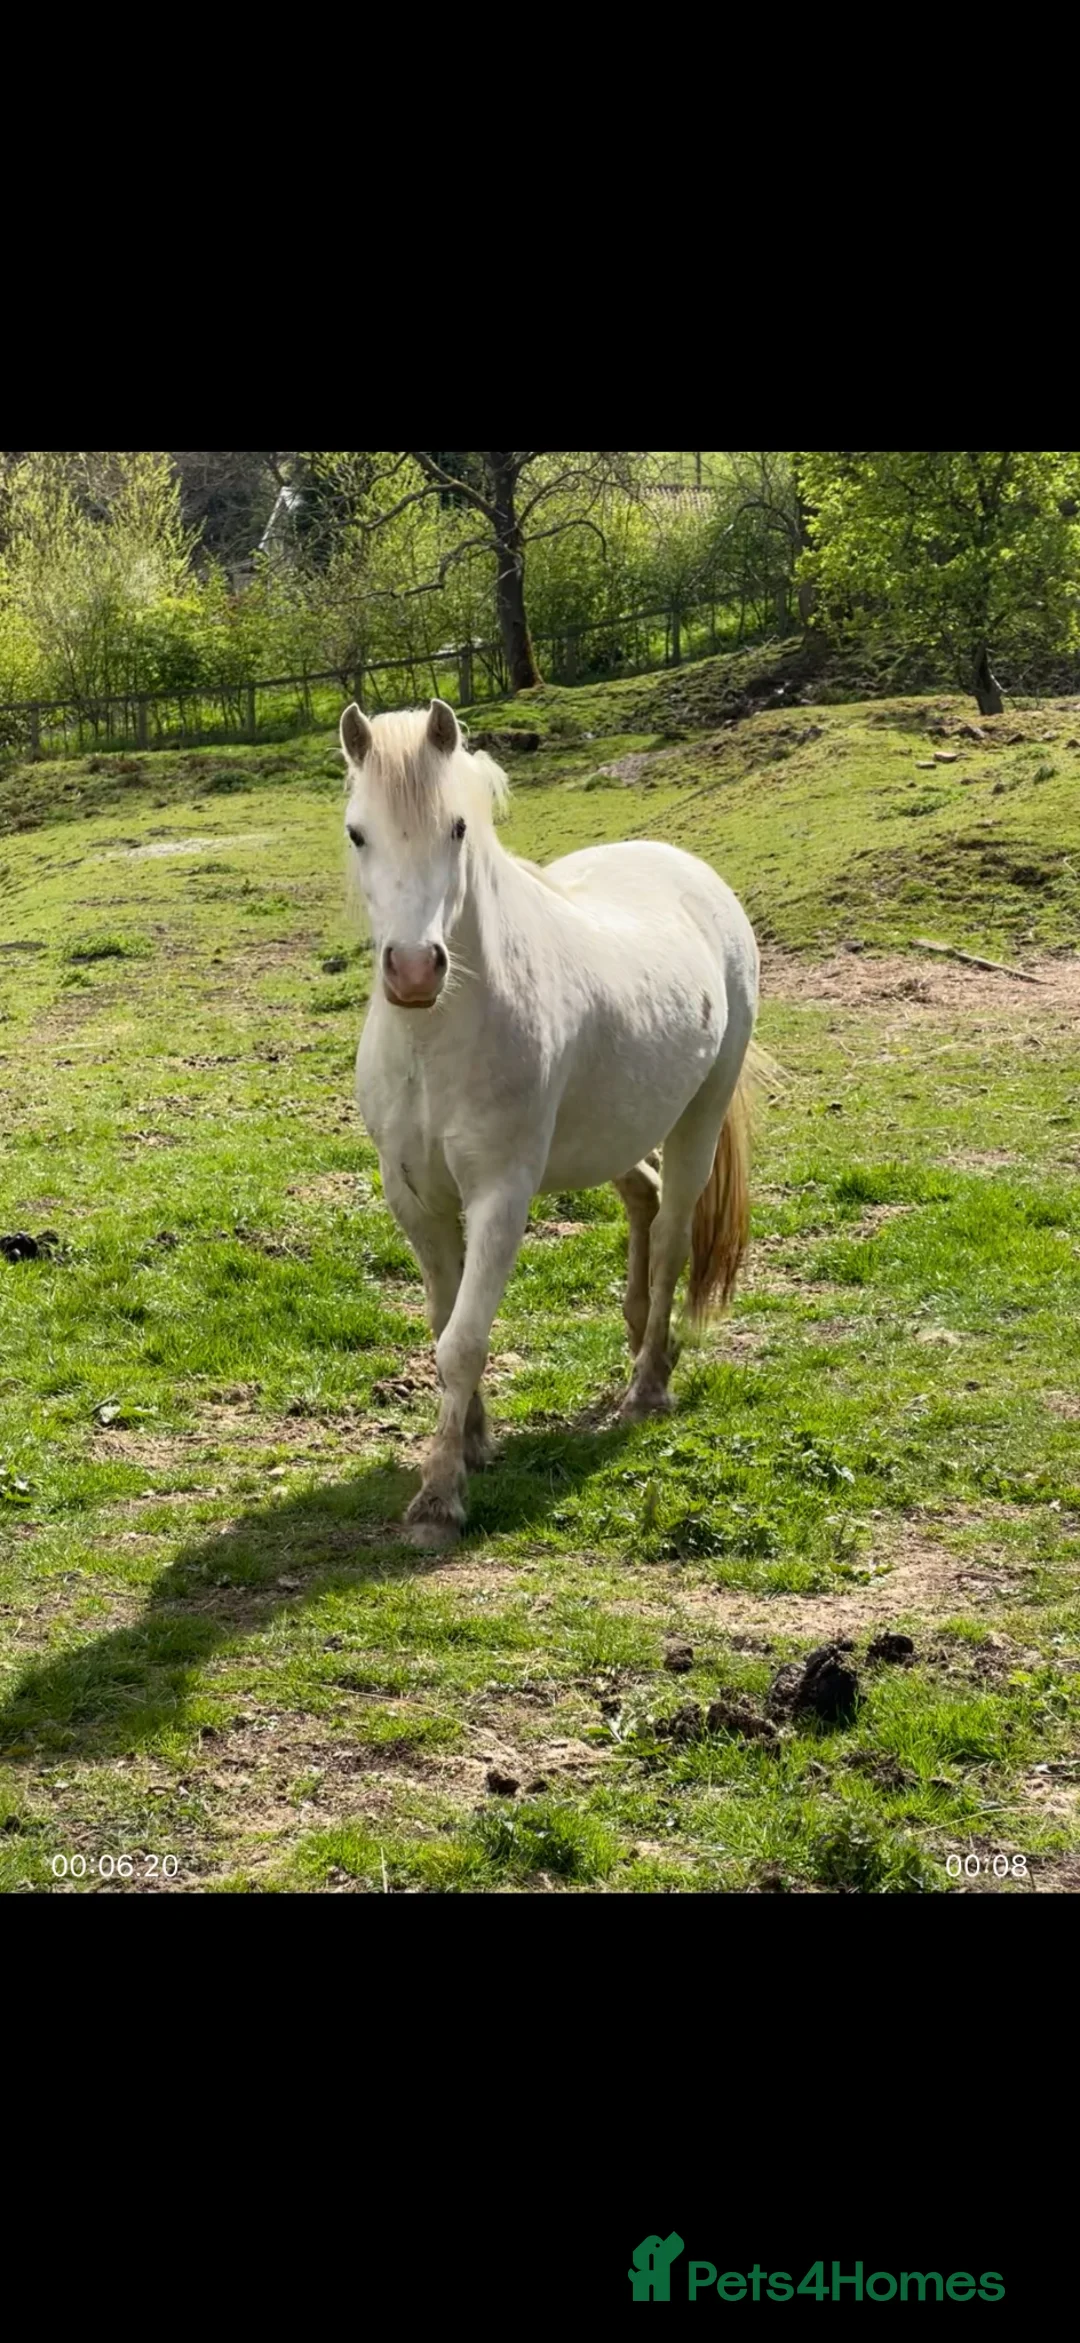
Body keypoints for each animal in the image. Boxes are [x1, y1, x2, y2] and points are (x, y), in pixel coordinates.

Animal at [342, 696, 761, 1548]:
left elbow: (463, 1339)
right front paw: (473, 1439)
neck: (437, 1037)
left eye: (457, 828)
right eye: (357, 832)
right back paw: (639, 1336)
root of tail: (693, 874)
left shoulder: (501, 1195)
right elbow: (442, 1318)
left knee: (673, 1234)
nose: (413, 970)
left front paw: (440, 1494)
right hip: (609, 1132)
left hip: (697, 1117)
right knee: (643, 1198)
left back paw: (648, 1384)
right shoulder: (412, 1196)